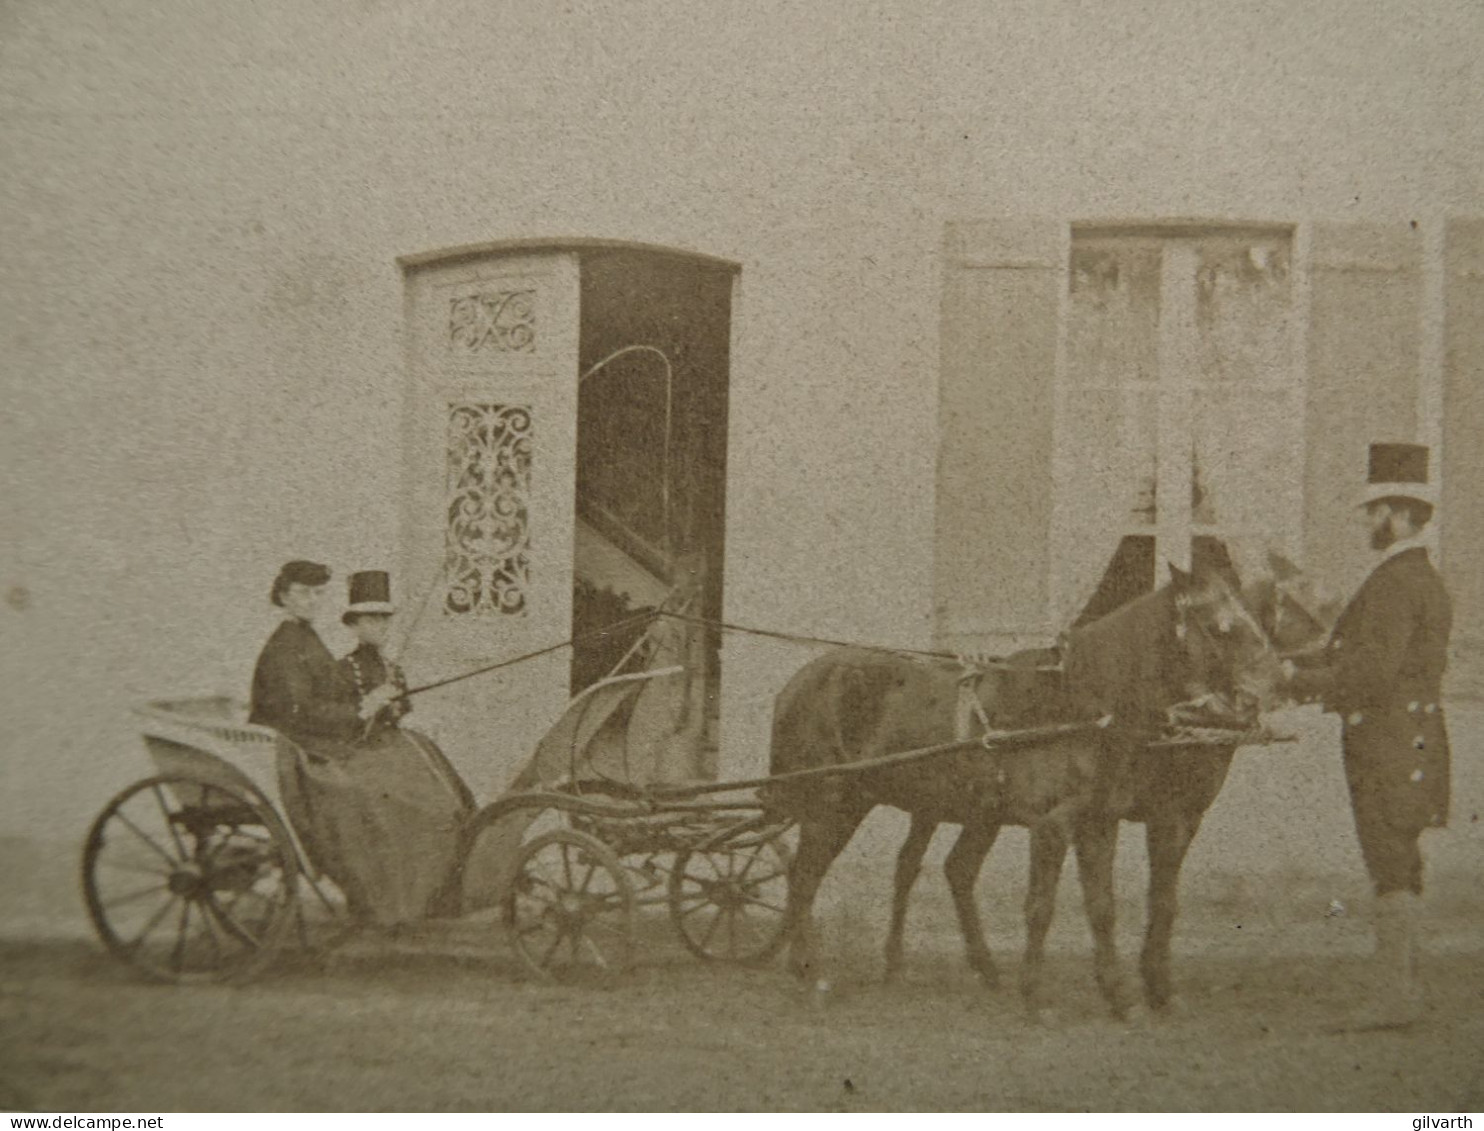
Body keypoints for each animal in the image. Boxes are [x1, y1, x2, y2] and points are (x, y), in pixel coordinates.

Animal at [759, 561, 1282, 1015]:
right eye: (1221, 626)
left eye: (1256, 618)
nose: (1269, 688)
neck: (1080, 704)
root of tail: (799, 682)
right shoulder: (1056, 824)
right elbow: (1041, 907)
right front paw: (1037, 997)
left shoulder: (1100, 822)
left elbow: (1105, 907)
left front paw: (1121, 997)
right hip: (834, 803)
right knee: (804, 877)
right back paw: (815, 972)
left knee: (924, 870)